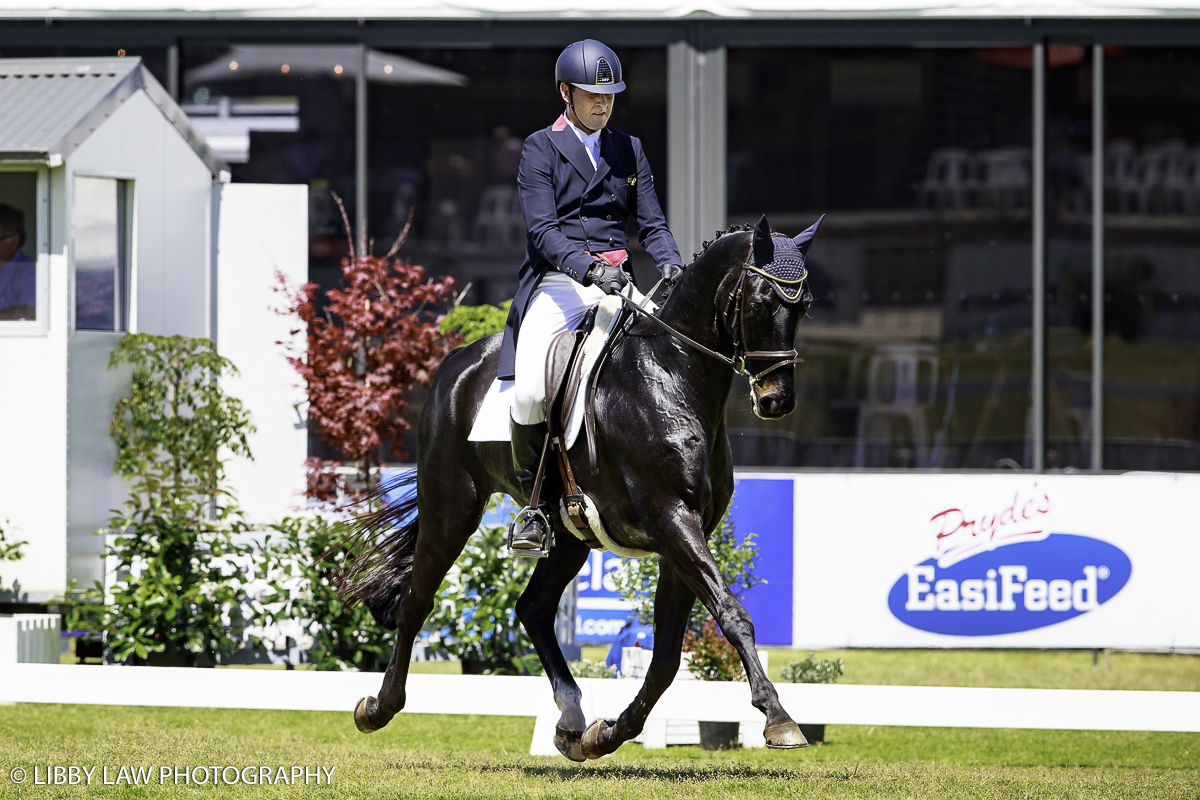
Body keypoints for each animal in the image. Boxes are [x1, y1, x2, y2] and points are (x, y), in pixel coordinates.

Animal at [343, 214, 820, 762]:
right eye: (761, 301)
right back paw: (378, 708)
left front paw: (608, 733)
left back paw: (572, 720)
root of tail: (456, 363)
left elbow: (666, 656)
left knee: (532, 609)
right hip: (451, 510)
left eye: (804, 305)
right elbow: (732, 615)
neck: (672, 374)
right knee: (417, 600)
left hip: (569, 535)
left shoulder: (686, 529)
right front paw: (779, 718)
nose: (777, 400)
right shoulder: (671, 517)